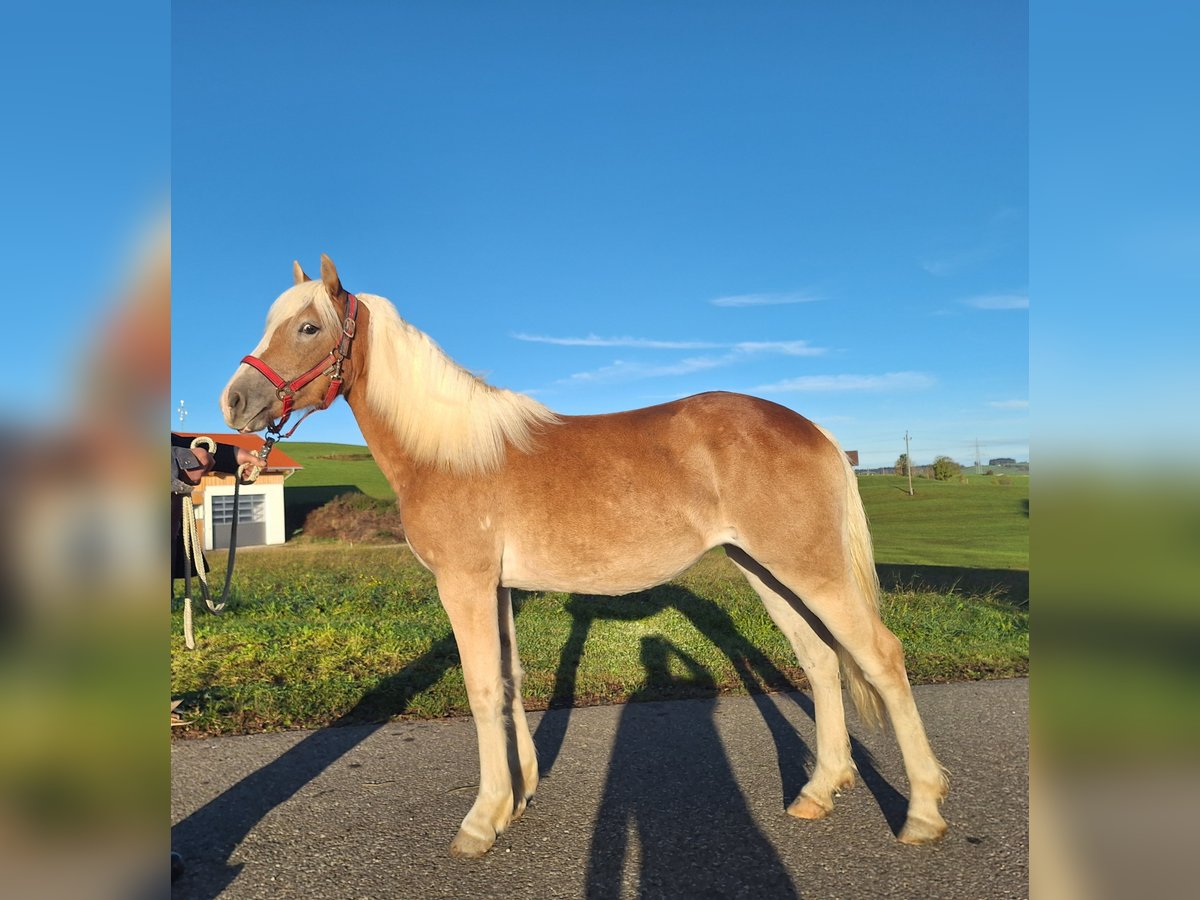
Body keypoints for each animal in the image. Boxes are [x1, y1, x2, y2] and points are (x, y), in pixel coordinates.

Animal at [218, 255, 945, 859]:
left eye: (309, 327)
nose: (235, 402)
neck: (450, 453)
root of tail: (813, 429)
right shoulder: (498, 588)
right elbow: (509, 682)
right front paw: (515, 798)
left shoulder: (465, 583)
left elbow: (482, 688)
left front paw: (481, 821)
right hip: (765, 570)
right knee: (821, 661)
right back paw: (818, 792)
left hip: (809, 569)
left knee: (880, 657)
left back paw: (923, 812)